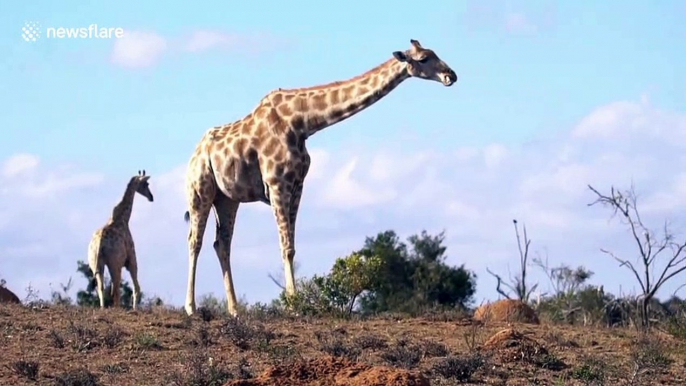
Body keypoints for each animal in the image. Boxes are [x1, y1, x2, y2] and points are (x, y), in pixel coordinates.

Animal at [88, 170, 154, 310]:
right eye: (146, 184)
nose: (151, 197)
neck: (123, 218)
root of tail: (100, 245)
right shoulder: (131, 260)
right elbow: (136, 288)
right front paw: (135, 308)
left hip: (95, 263)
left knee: (102, 288)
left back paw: (103, 308)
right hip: (115, 263)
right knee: (116, 289)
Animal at [185, 39, 460, 316]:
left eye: (434, 53)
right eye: (424, 58)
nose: (451, 76)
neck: (303, 123)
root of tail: (194, 155)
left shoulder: (297, 185)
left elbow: (292, 246)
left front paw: (294, 302)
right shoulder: (277, 184)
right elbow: (285, 246)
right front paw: (294, 305)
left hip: (228, 199)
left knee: (222, 243)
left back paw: (235, 310)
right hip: (200, 189)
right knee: (195, 241)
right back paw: (191, 307)